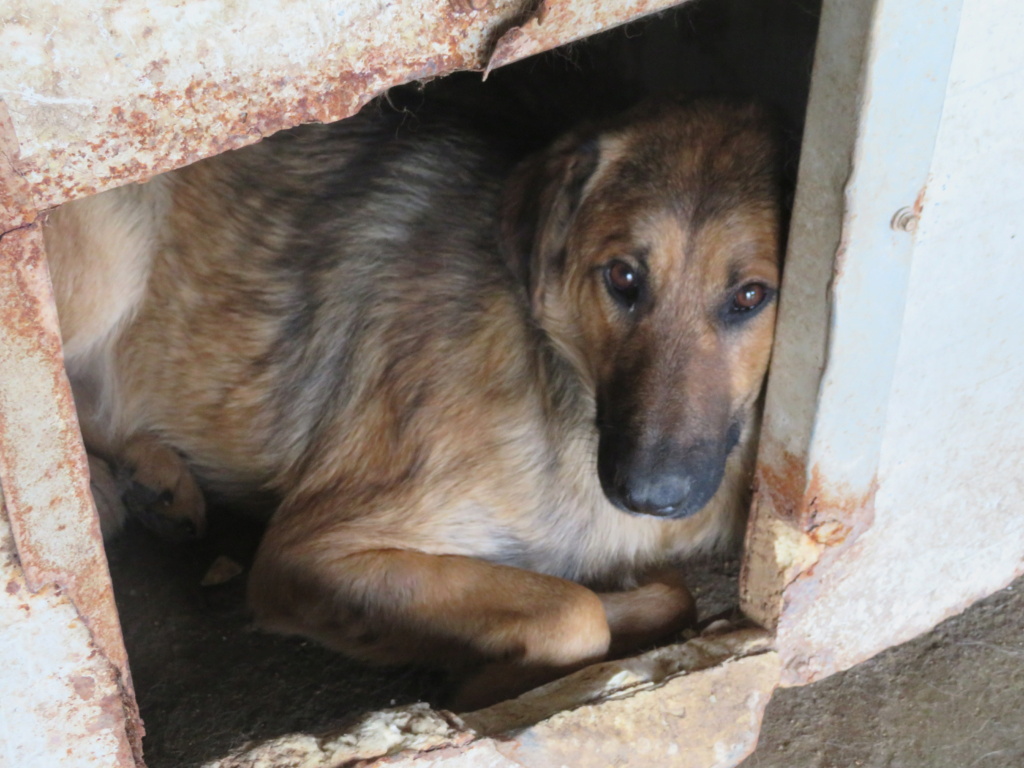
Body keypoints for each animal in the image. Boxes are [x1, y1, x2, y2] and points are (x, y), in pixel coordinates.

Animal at [46, 96, 782, 708]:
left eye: (750, 296)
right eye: (623, 277)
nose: (650, 494)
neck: (561, 381)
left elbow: (662, 594)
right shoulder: (313, 550)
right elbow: (574, 614)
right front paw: (483, 681)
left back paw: (154, 479)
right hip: (113, 252)